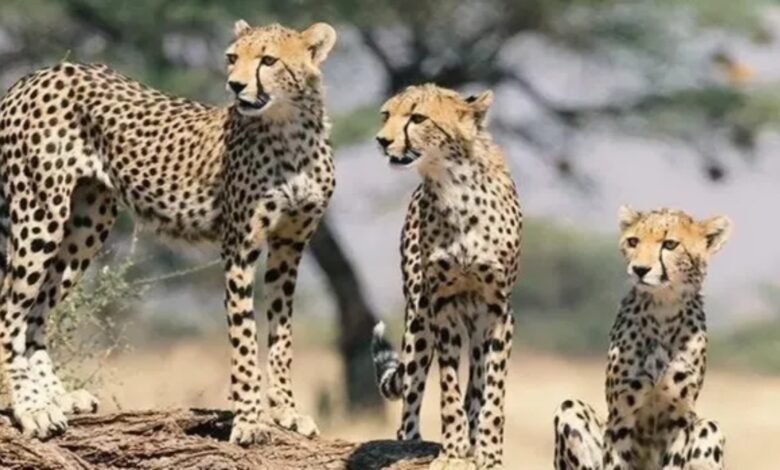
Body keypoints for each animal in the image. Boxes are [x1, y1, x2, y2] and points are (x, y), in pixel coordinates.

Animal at [0, 20, 337, 445]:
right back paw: (29, 409)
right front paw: (248, 420)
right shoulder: (239, 248)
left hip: (86, 225)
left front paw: (288, 413)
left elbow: (282, 338)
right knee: (10, 310)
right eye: (232, 57)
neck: (289, 128)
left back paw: (55, 399)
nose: (235, 85)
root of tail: (36, 74)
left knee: (35, 312)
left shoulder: (289, 247)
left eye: (268, 60)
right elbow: (244, 339)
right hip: (39, 214)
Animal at [371, 84, 523, 470]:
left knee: (478, 383)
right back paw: (410, 441)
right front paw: (453, 451)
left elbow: (492, 391)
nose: (382, 140)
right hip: (418, 316)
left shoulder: (498, 309)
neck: (455, 186)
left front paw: (487, 452)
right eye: (386, 115)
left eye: (417, 118)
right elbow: (448, 387)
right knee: (412, 389)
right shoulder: (443, 305)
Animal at [553, 206, 732, 469]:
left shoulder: (681, 420)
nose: (639, 269)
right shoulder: (621, 417)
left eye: (670, 244)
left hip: (709, 428)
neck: (663, 309)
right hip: (570, 409)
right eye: (633, 241)